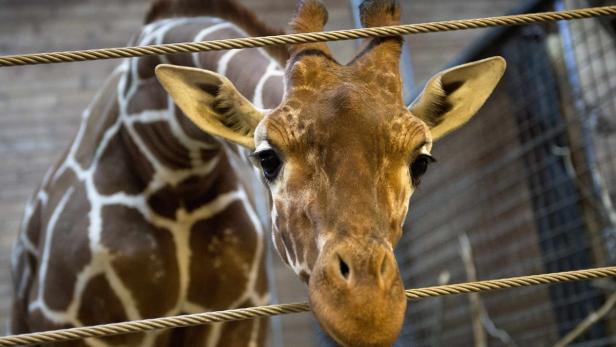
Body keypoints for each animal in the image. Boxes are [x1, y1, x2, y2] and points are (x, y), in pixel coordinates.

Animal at [9, 0, 508, 346]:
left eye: (421, 161)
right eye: (267, 158)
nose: (366, 311)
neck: (172, 167)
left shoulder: (235, 323)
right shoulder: (79, 326)